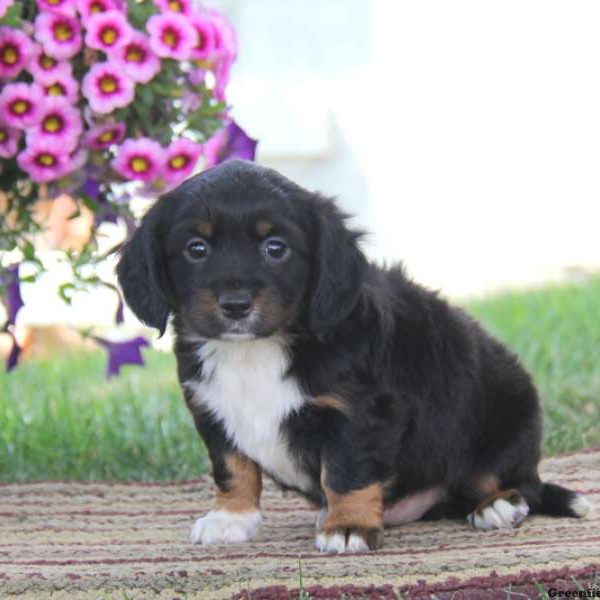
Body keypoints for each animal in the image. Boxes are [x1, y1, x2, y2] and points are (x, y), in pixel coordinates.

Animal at [117, 158, 592, 552]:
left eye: (276, 248)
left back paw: (496, 505)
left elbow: (346, 471)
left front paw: (347, 526)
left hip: (509, 411)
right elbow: (233, 467)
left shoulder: (358, 413)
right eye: (196, 248)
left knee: (509, 481)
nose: (235, 305)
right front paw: (231, 518)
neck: (258, 350)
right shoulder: (212, 410)